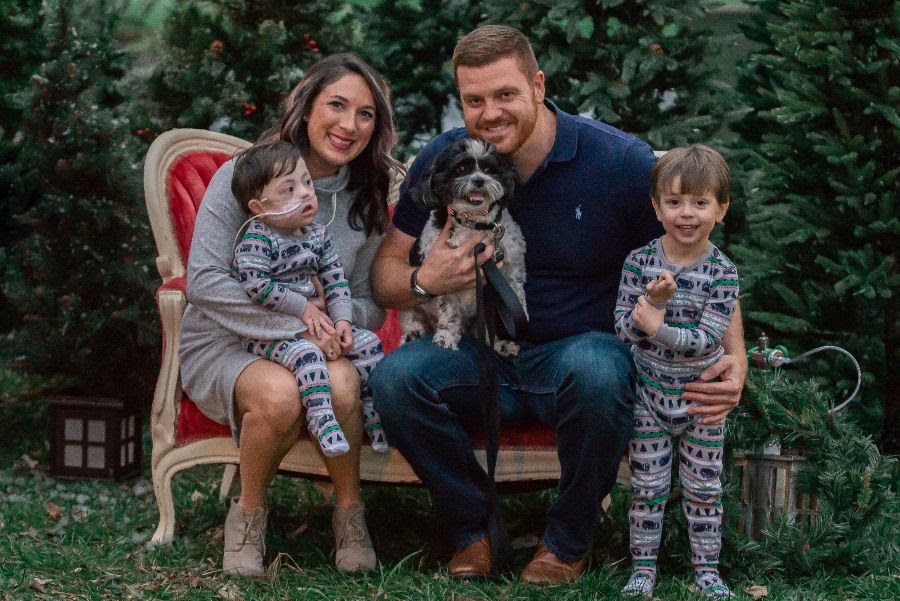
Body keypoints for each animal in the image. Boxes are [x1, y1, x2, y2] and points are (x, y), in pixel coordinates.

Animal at [400, 138, 528, 354]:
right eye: (461, 169)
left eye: (489, 169)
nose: (479, 180)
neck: (474, 224)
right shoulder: (444, 278)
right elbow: (449, 311)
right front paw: (446, 338)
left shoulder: (511, 266)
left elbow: (515, 292)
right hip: (412, 308)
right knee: (412, 319)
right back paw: (412, 334)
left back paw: (499, 346)